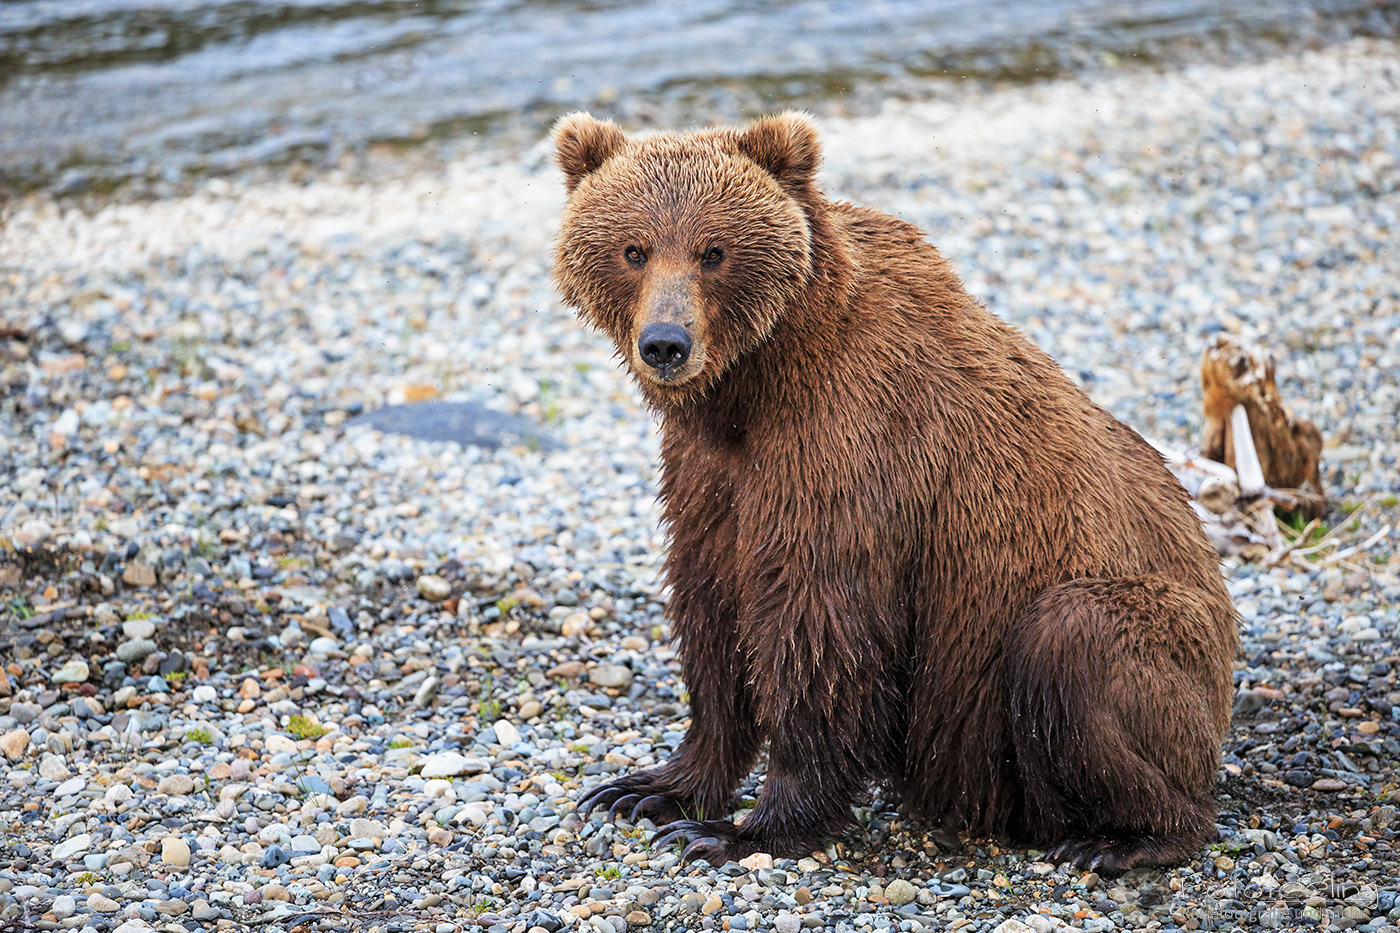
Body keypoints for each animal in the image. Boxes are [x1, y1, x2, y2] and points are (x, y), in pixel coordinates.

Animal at [551, 110, 1239, 874]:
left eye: (714, 251)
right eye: (634, 249)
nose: (666, 342)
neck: (755, 384)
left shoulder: (850, 448)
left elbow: (821, 627)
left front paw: (744, 829)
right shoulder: (708, 475)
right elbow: (712, 616)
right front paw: (649, 788)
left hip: (1165, 649)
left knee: (1074, 638)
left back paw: (1127, 837)